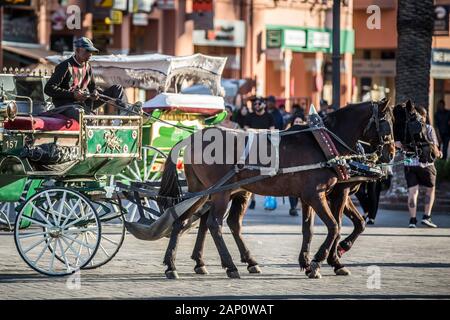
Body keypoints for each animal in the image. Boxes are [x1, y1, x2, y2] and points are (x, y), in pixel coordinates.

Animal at [157, 99, 394, 278]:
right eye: (386, 123)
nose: (390, 153)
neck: (322, 143)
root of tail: (192, 137)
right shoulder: (317, 195)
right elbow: (334, 226)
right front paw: (319, 261)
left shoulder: (307, 197)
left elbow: (308, 230)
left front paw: (307, 262)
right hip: (220, 192)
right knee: (214, 224)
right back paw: (230, 266)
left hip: (203, 190)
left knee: (183, 220)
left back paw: (174, 264)